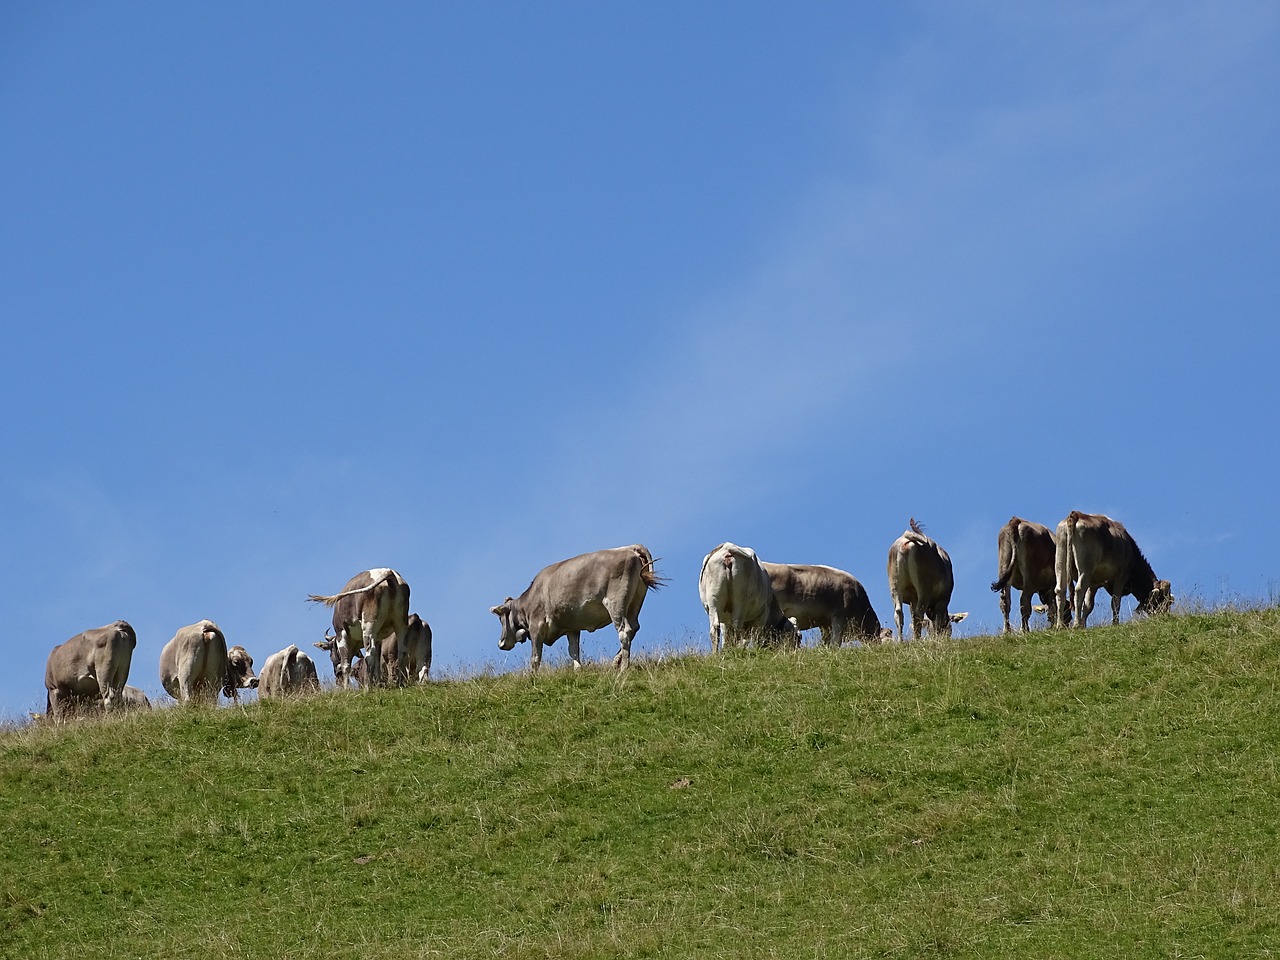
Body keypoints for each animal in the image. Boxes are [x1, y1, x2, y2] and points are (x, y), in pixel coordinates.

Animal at [488, 545, 665, 670]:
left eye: (500, 619)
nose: (501, 644)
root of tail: (631, 548)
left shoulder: (537, 625)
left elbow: (535, 657)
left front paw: (532, 676)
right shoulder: (571, 628)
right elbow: (573, 650)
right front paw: (578, 670)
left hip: (616, 603)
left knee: (625, 631)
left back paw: (623, 668)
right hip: (635, 603)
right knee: (634, 627)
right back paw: (615, 662)